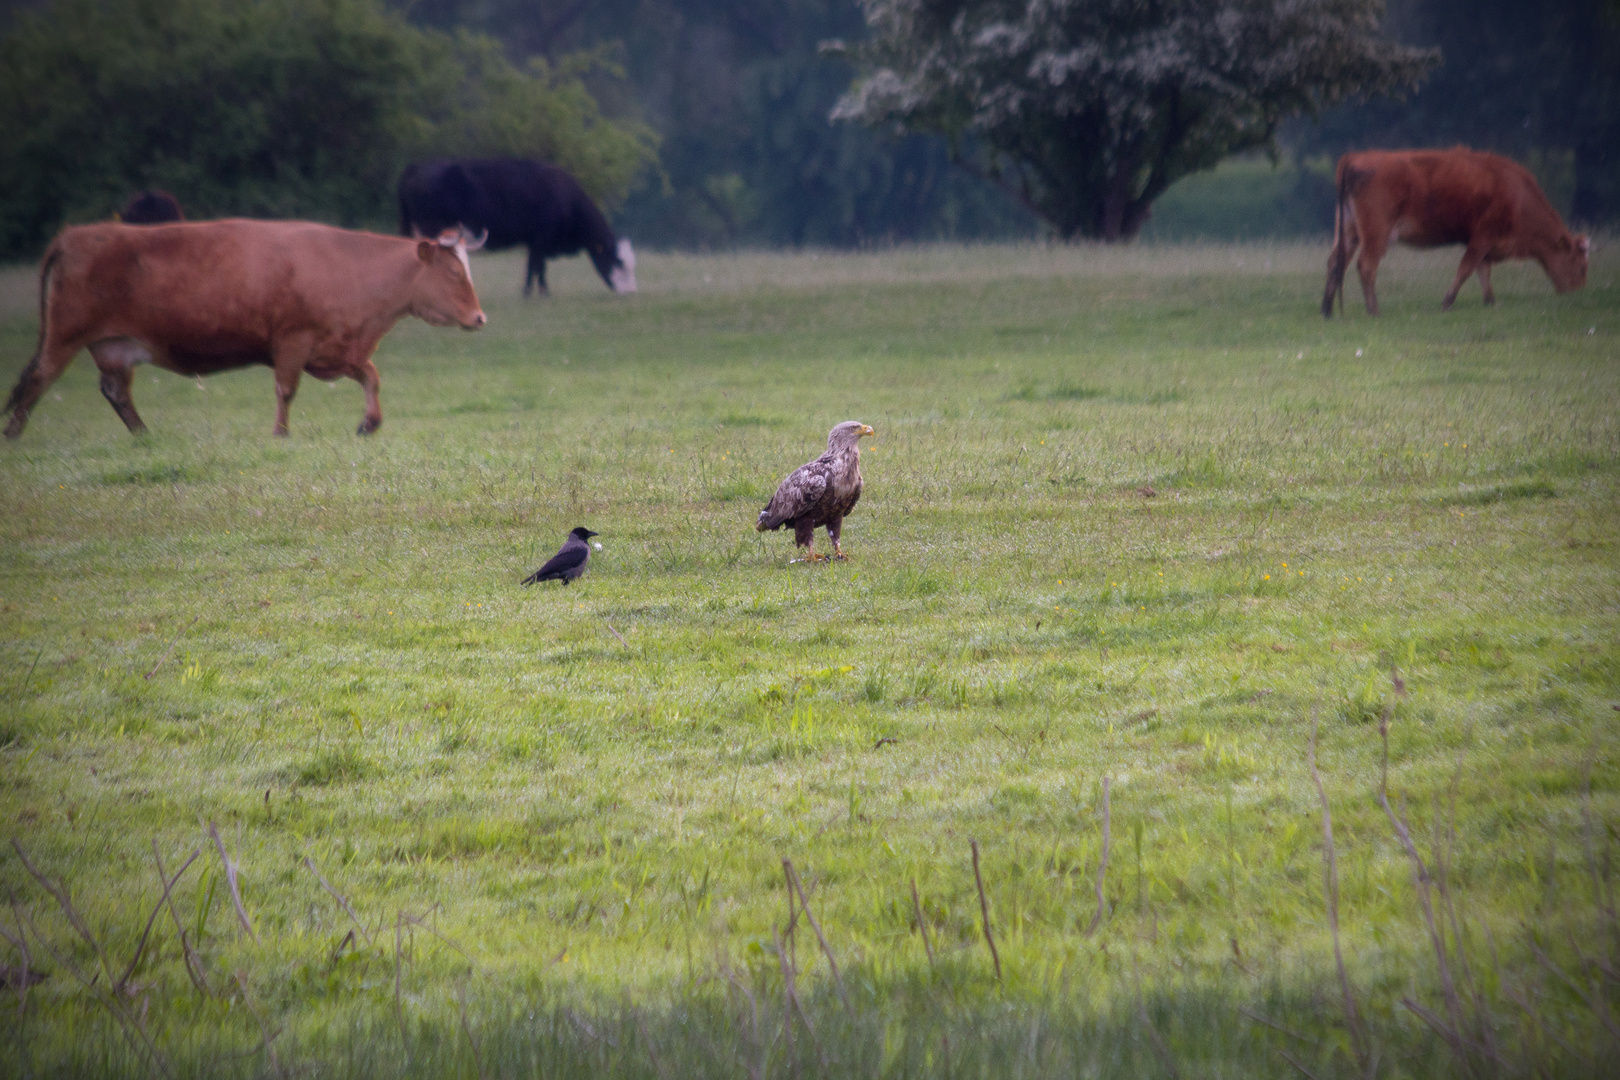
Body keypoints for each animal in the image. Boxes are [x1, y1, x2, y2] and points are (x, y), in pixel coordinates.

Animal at [3, 220, 482, 440]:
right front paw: (280, 433)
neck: (345, 267)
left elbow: (370, 376)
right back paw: (13, 436)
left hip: (114, 348)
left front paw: (370, 421)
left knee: (116, 392)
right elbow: (286, 390)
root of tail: (75, 236)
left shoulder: (336, 349)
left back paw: (144, 436)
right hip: (64, 338)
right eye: (454, 273)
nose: (480, 318)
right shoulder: (292, 340)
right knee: (37, 381)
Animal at [395, 158, 635, 297]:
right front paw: (536, 293)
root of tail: (415, 167)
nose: (632, 292)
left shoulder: (535, 241)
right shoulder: (541, 238)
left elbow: (536, 266)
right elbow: (536, 265)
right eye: (619, 262)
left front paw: (537, 291)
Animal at [1328, 148, 1594, 317]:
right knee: (1366, 265)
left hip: (1349, 232)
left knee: (1335, 262)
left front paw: (1490, 301)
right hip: (1376, 234)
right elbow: (1467, 268)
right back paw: (1374, 311)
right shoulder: (1483, 236)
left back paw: (1327, 310)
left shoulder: (1482, 242)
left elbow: (1482, 270)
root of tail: (1355, 157)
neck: (1518, 195)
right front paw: (1447, 303)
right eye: (1582, 267)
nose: (1578, 295)